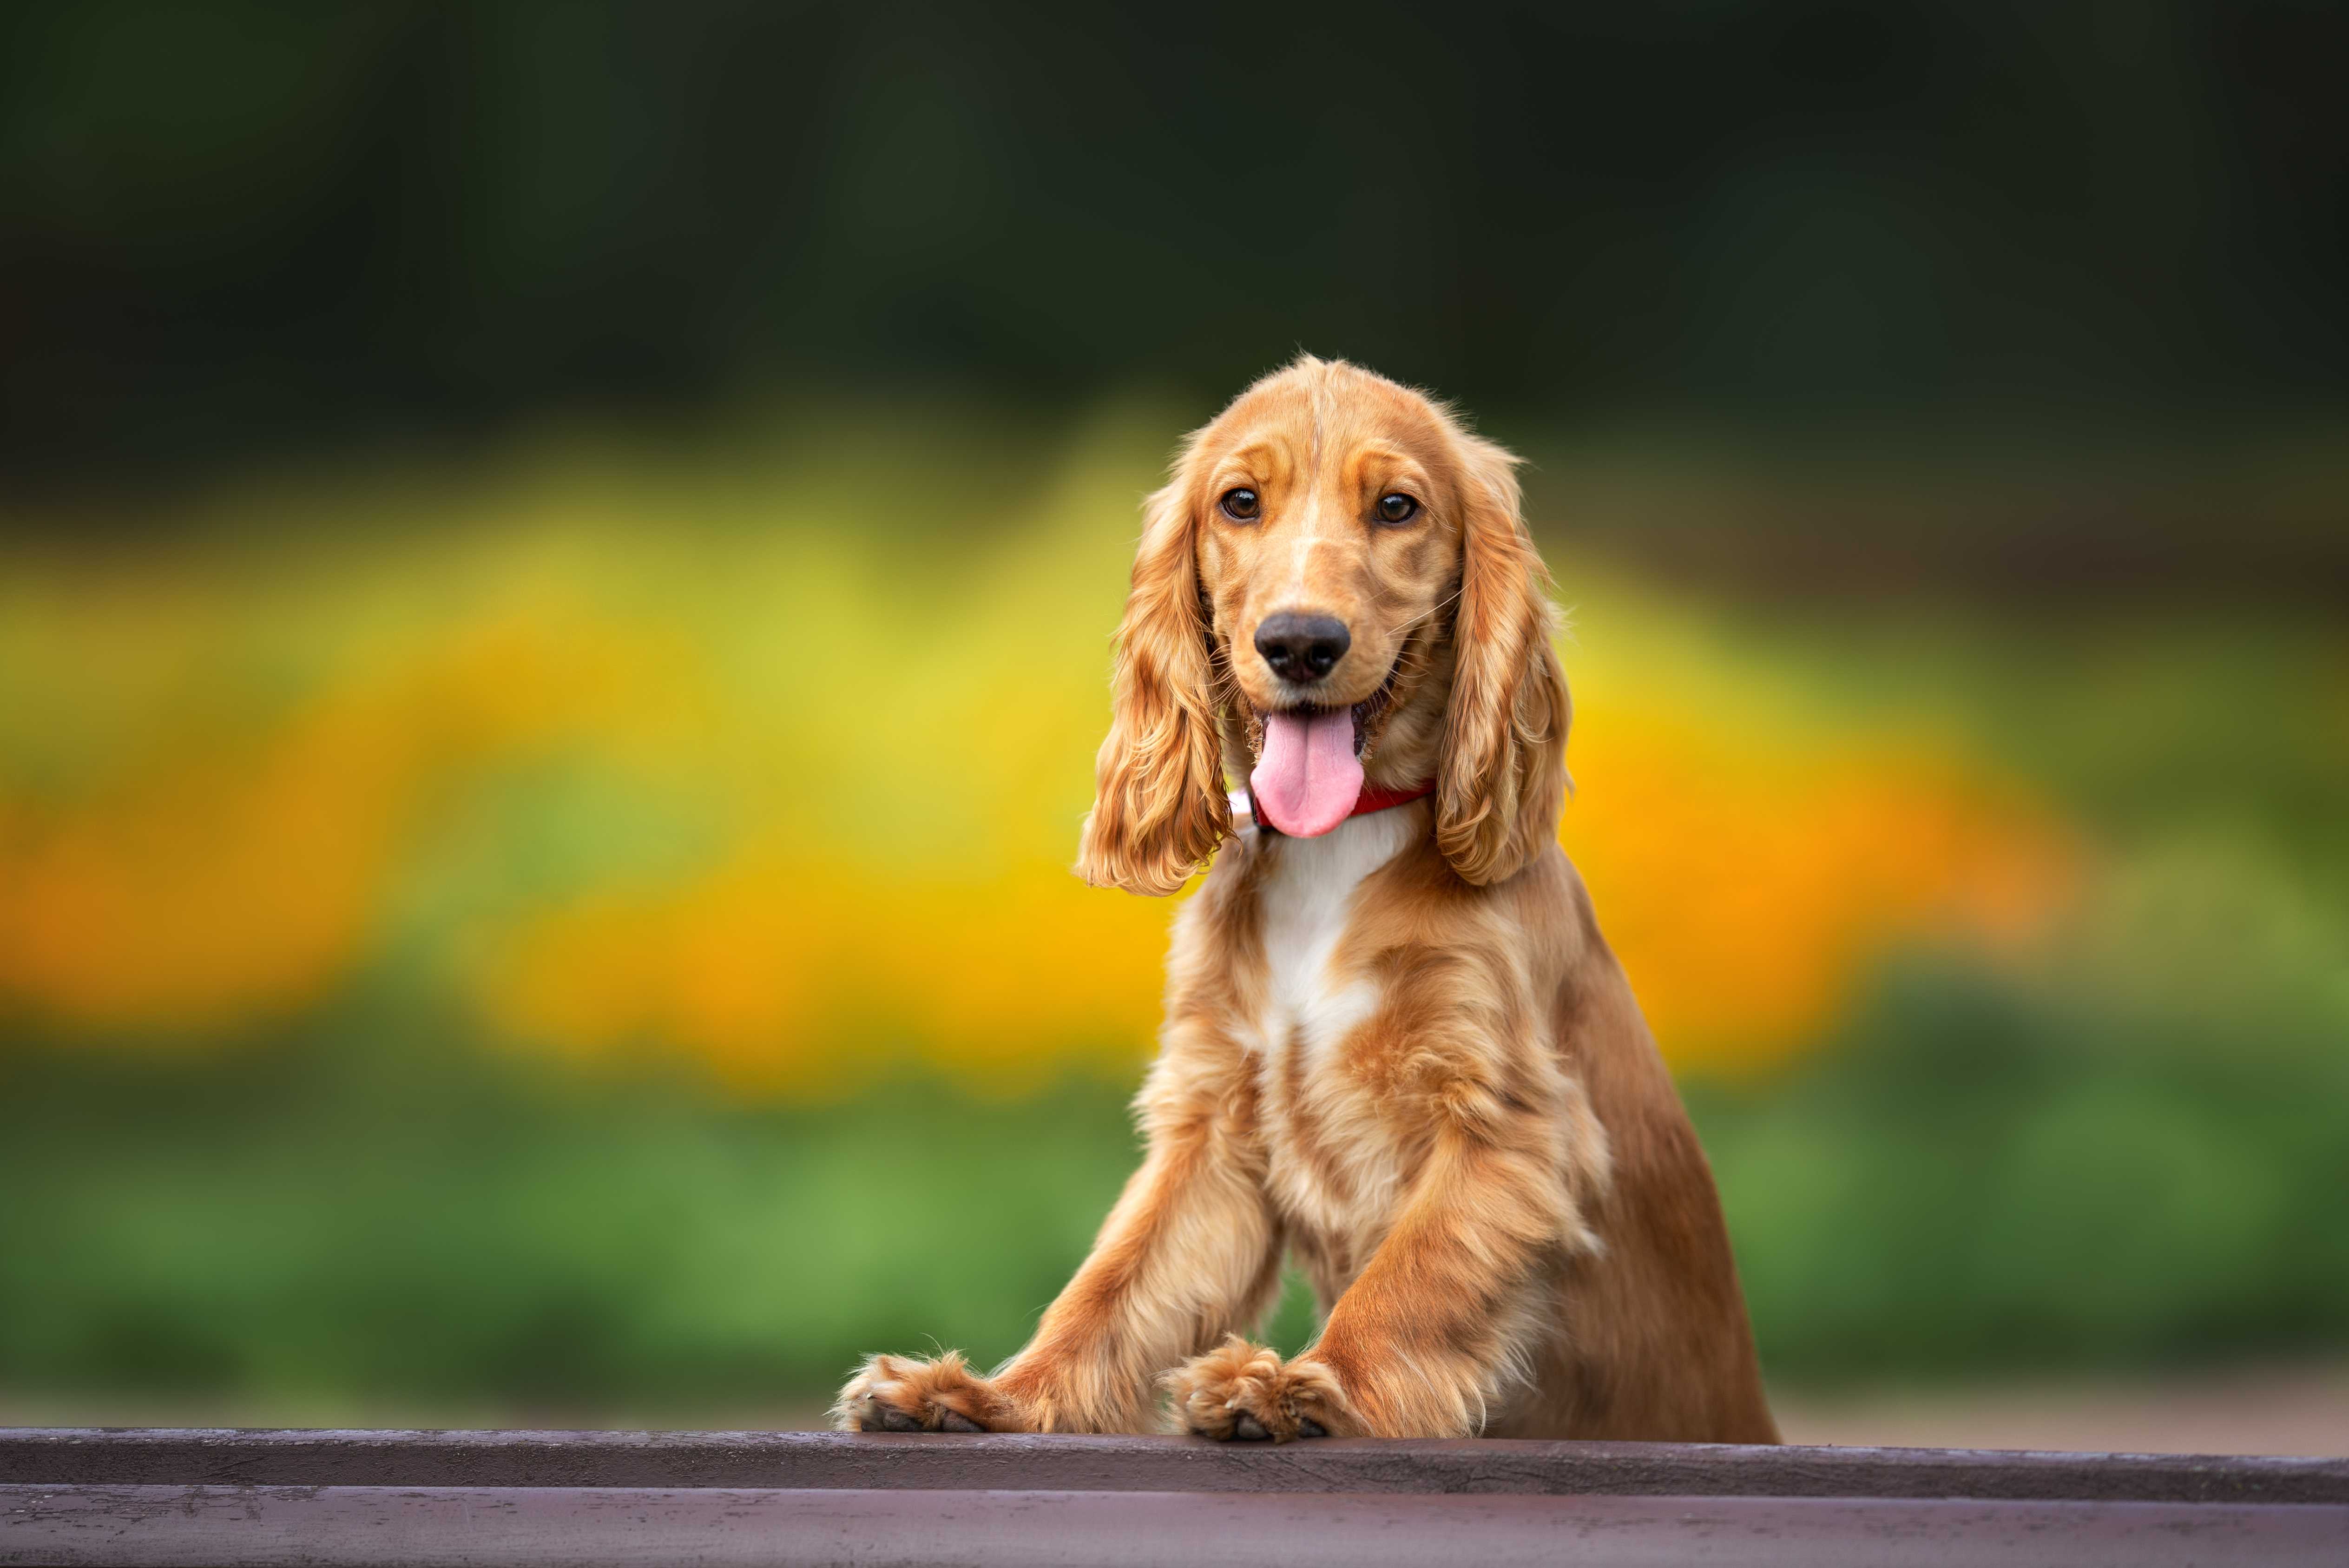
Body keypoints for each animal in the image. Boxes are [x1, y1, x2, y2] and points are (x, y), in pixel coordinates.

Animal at [836, 355, 1766, 1448]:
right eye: (1240, 502)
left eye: (1398, 506)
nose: (1299, 642)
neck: (1341, 845)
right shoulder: (1216, 1125)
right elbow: (1112, 1287)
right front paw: (992, 1397)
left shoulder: (1508, 1124)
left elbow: (1406, 1282)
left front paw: (1306, 1387)